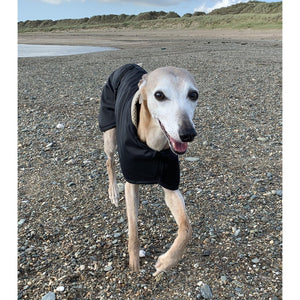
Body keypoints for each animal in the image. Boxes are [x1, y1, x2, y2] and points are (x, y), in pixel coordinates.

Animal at [99, 63, 199, 276]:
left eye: (193, 94)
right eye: (159, 95)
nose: (188, 134)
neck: (154, 146)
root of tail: (128, 65)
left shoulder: (171, 184)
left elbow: (187, 228)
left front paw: (165, 262)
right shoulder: (131, 183)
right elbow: (133, 231)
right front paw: (134, 263)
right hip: (109, 133)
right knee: (109, 161)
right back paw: (113, 192)